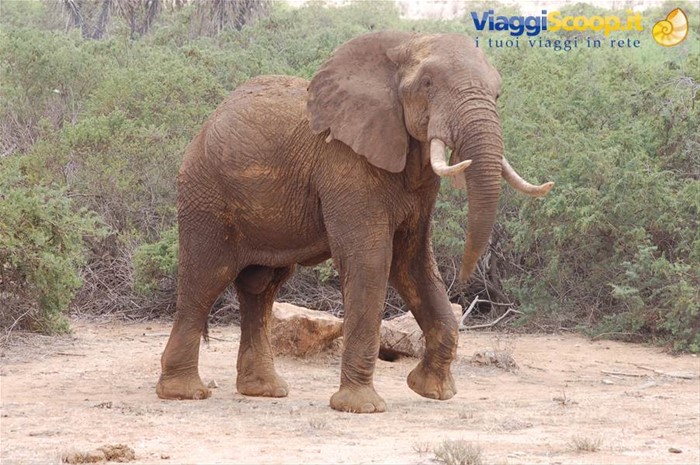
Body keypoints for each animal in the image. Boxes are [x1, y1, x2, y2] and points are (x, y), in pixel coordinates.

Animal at [156, 31, 553, 413]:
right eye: (427, 84)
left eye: (498, 93)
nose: (471, 282)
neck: (401, 46)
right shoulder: (346, 164)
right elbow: (371, 261)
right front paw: (362, 407)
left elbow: (413, 264)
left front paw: (432, 392)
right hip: (205, 192)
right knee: (206, 277)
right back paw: (184, 393)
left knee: (261, 286)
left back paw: (265, 390)